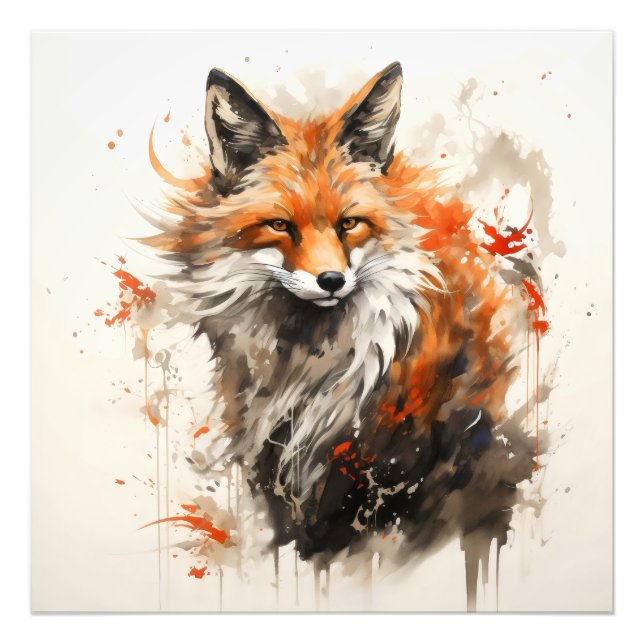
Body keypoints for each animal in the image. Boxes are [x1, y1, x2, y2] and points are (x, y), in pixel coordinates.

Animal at [143, 62, 538, 608]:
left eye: (349, 223)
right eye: (280, 225)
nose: (330, 280)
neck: (312, 374)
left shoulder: (385, 482)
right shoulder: (278, 481)